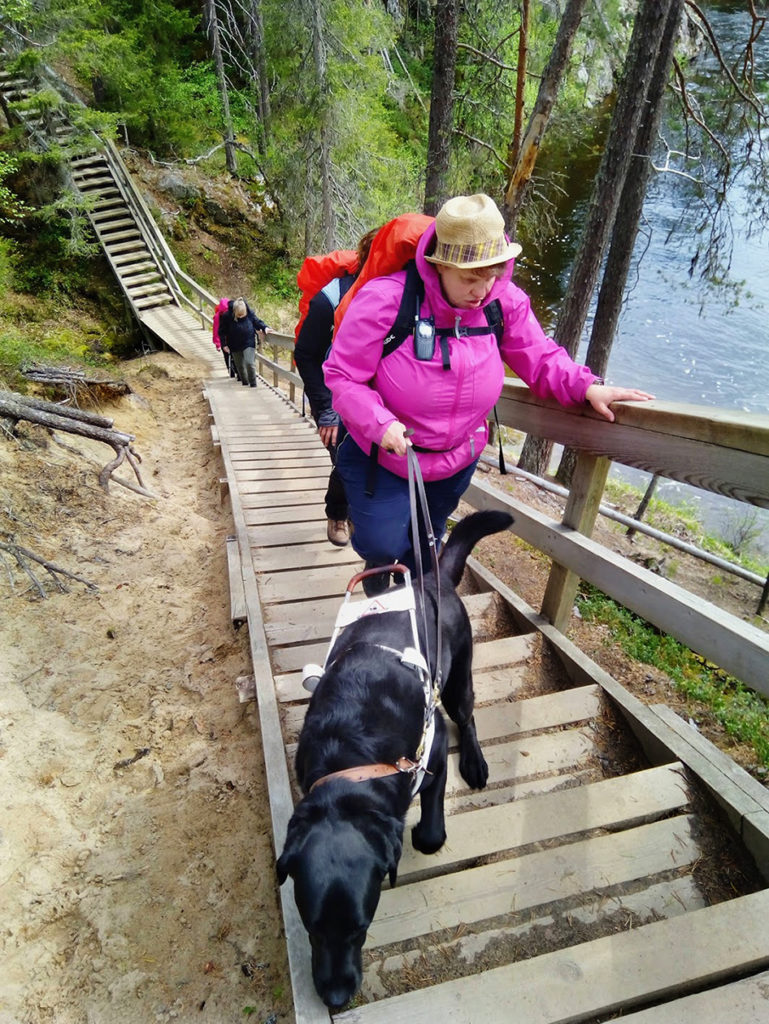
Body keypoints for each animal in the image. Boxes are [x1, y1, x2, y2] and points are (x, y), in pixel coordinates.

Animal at [274, 507, 514, 1003]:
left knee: (468, 715)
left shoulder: (432, 747)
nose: (335, 998)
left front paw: (423, 833)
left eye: (361, 927)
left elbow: (431, 831)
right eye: (310, 926)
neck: (350, 763)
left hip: (457, 679)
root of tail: (431, 579)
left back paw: (475, 762)